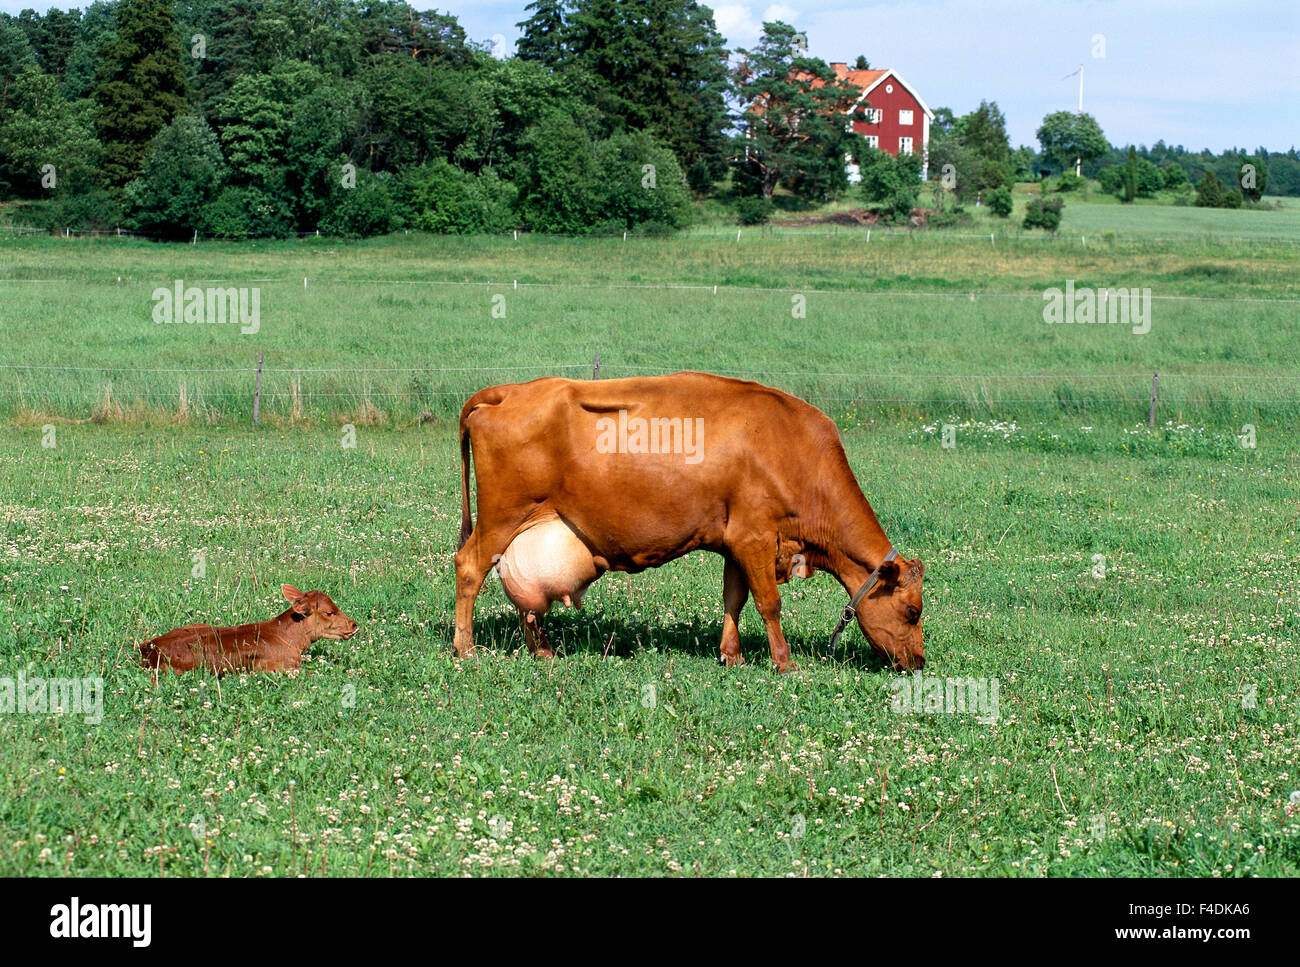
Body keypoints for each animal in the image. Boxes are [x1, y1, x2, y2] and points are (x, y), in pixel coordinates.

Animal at [454, 372, 924, 671]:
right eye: (913, 611)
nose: (919, 663)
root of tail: (509, 392)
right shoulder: (756, 537)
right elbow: (769, 603)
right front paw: (785, 662)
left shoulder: (737, 541)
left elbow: (734, 599)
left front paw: (732, 656)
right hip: (500, 518)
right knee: (469, 567)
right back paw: (466, 649)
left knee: (522, 591)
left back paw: (542, 651)